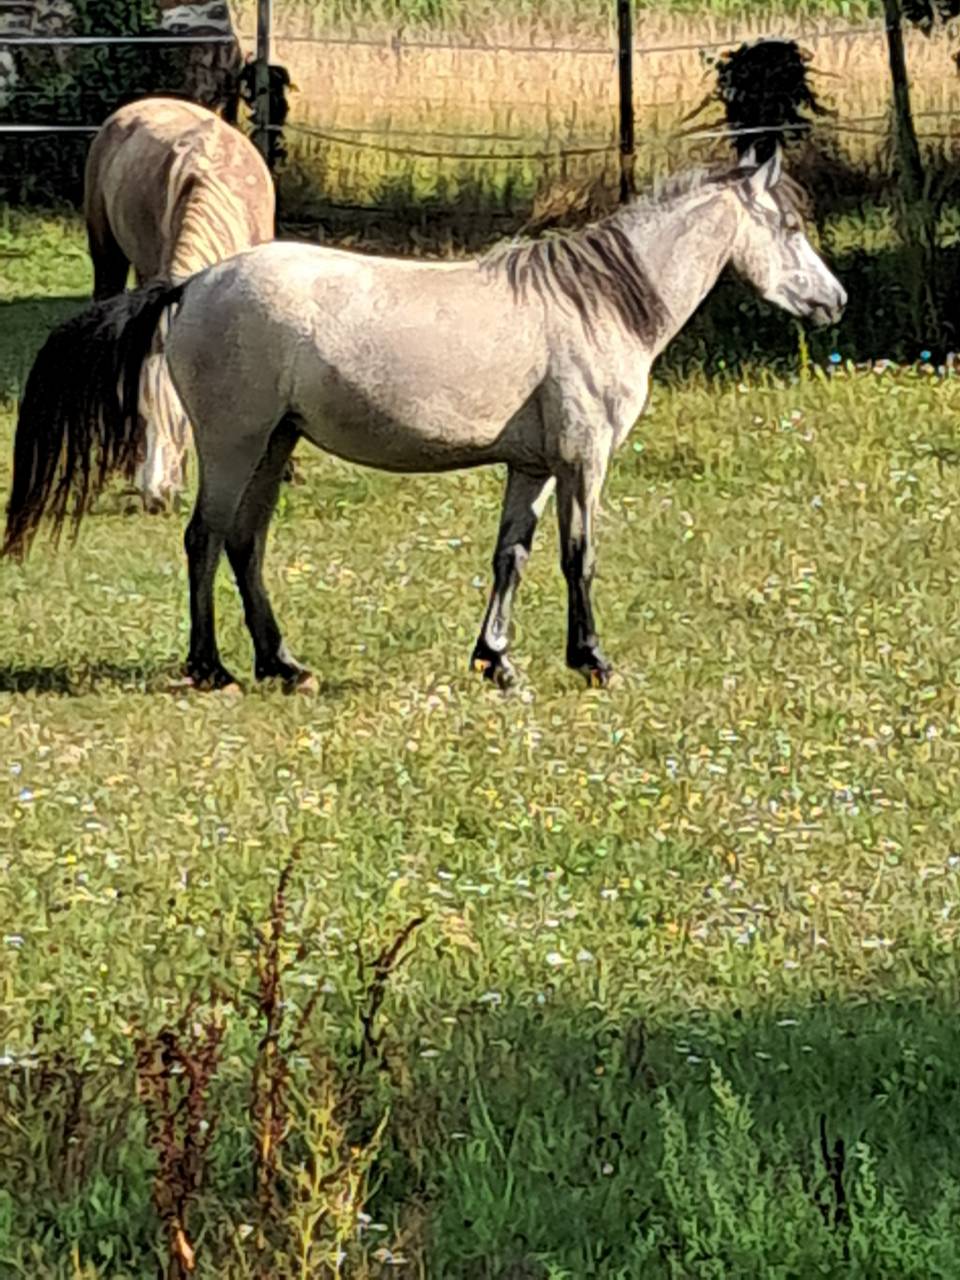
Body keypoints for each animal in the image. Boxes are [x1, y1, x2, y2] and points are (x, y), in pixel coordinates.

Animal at [3, 148, 846, 693]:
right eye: (790, 227)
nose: (833, 302)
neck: (596, 303)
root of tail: (195, 283)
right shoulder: (584, 461)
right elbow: (579, 558)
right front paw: (592, 660)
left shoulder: (533, 466)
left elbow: (512, 558)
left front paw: (495, 659)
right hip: (235, 445)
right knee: (204, 540)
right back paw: (211, 668)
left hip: (273, 447)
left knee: (245, 544)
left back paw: (282, 663)